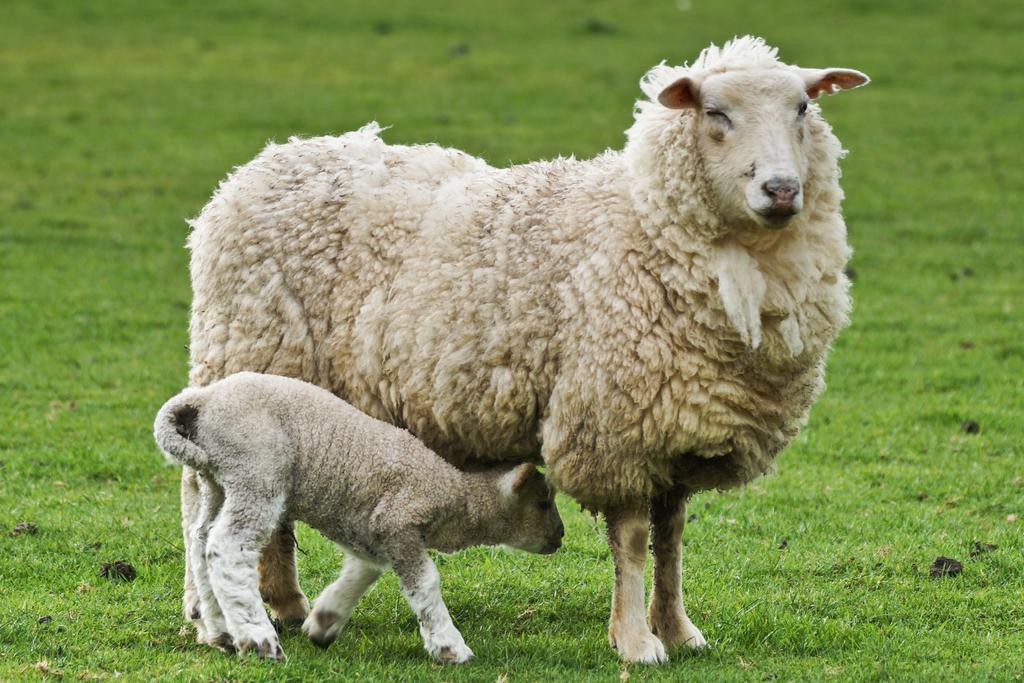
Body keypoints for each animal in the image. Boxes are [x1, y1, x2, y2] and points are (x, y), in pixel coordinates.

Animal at [155, 370, 565, 663]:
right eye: (544, 503)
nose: (560, 536)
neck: (452, 495)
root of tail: (201, 400)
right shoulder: (399, 521)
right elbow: (426, 583)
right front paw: (449, 646)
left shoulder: (367, 530)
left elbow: (363, 571)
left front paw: (324, 622)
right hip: (257, 468)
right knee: (227, 548)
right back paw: (257, 639)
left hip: (217, 479)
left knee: (200, 541)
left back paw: (220, 631)